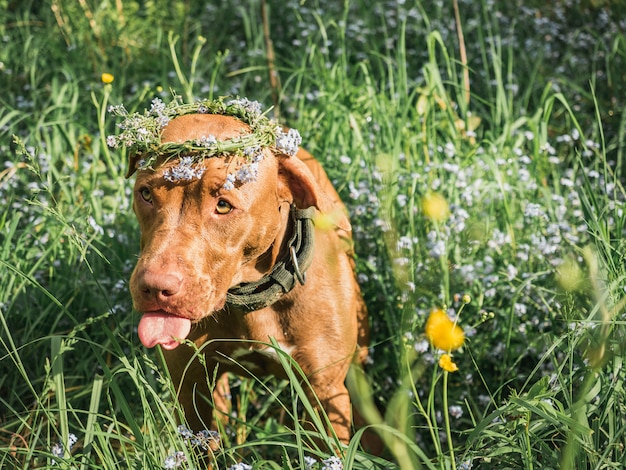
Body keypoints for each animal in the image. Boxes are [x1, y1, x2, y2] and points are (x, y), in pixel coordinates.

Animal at [125, 111, 368, 444]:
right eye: (146, 194)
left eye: (223, 205)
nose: (154, 287)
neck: (252, 293)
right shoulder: (190, 387)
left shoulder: (326, 395)